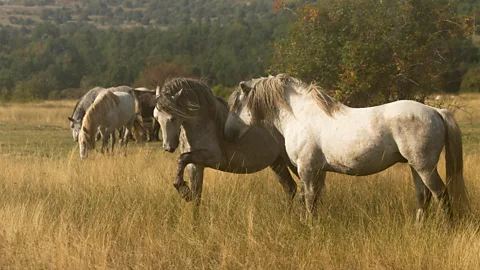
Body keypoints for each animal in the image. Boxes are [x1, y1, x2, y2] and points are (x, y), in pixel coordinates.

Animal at [225, 73, 468, 221]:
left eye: (237, 105)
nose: (227, 134)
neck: (301, 115)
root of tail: (435, 111)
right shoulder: (318, 171)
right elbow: (315, 199)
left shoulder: (307, 170)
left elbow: (309, 200)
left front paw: (308, 227)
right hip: (415, 166)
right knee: (423, 196)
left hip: (424, 167)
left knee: (441, 194)